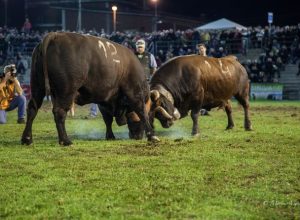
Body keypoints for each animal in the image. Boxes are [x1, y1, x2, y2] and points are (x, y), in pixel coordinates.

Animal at [21, 31, 159, 145]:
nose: (137, 137)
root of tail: (53, 35)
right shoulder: (134, 94)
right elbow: (141, 112)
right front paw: (152, 136)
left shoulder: (104, 100)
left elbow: (107, 119)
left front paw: (110, 136)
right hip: (66, 92)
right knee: (59, 112)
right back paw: (65, 140)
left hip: (37, 88)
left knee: (32, 108)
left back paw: (27, 139)